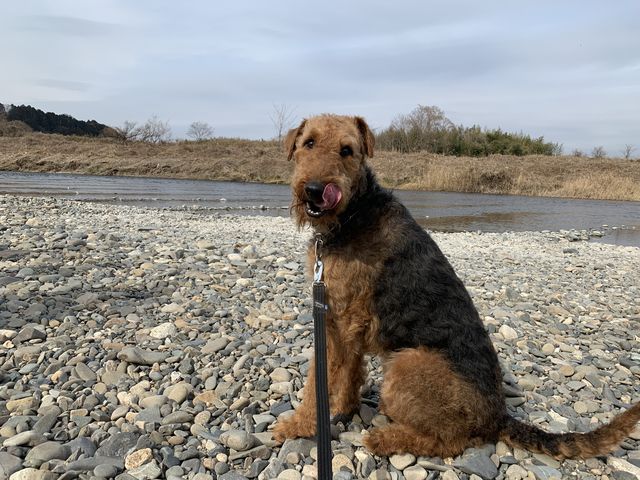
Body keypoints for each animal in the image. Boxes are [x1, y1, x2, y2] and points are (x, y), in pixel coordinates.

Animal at [274, 114, 640, 460]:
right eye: (309, 143)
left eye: (347, 150)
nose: (315, 190)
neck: (353, 214)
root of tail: (499, 418)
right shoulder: (345, 325)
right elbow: (349, 375)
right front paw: (343, 410)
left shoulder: (340, 321)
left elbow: (318, 381)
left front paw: (297, 425)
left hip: (405, 365)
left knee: (451, 441)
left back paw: (384, 438)